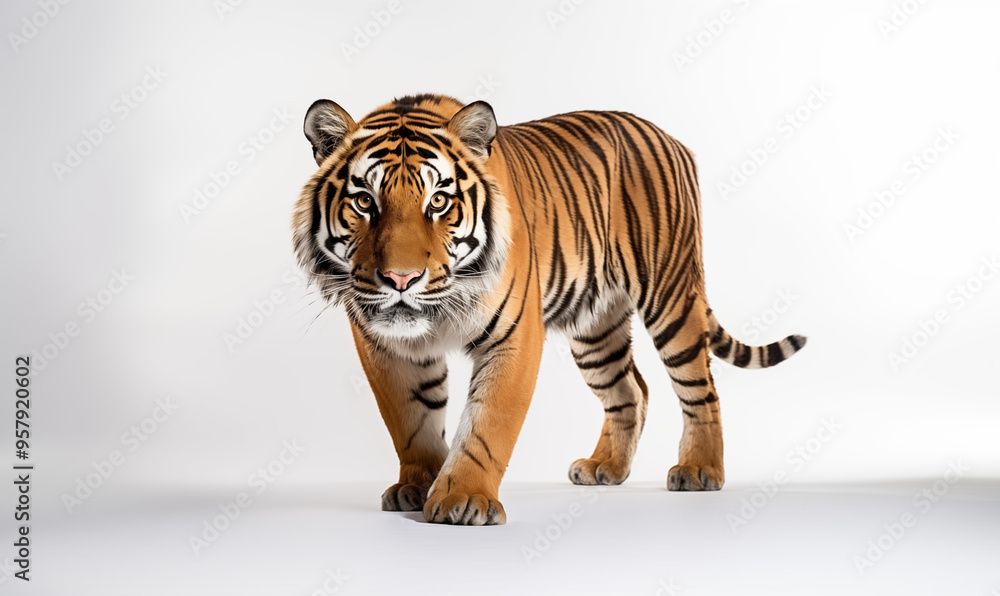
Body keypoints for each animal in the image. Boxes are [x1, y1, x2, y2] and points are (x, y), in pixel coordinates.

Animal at [292, 93, 806, 526]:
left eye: (438, 201)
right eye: (364, 201)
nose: (401, 280)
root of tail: (669, 137)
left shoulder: (514, 335)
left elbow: (488, 423)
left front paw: (464, 498)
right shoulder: (385, 345)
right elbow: (410, 421)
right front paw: (416, 487)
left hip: (672, 298)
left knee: (701, 389)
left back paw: (700, 470)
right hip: (595, 327)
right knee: (630, 390)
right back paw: (606, 467)